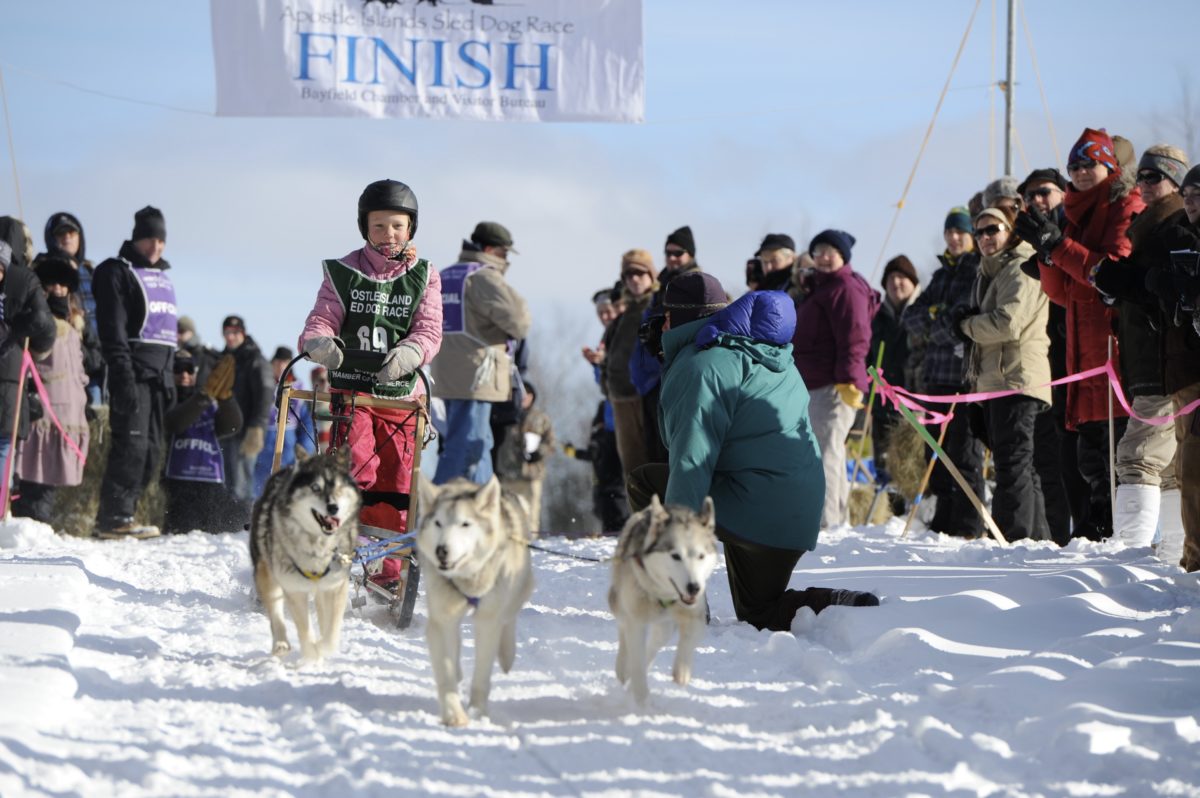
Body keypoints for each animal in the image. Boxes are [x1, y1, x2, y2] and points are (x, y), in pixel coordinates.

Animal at [248, 451, 360, 662]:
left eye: (339, 487)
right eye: (315, 488)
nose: (333, 507)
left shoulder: (335, 586)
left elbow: (331, 631)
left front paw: (323, 648)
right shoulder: (293, 587)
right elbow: (304, 629)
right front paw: (311, 654)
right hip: (267, 573)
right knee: (275, 610)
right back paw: (281, 643)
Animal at [420, 475, 537, 724]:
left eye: (465, 524)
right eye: (438, 523)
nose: (441, 551)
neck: (468, 578)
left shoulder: (488, 620)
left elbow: (482, 672)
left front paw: (477, 711)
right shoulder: (441, 619)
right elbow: (446, 670)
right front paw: (454, 714)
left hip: (518, 588)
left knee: (509, 617)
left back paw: (507, 654)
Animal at [614, 492, 715, 705]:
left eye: (701, 556)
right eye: (675, 556)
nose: (694, 587)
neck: (662, 594)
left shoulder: (695, 614)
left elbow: (688, 639)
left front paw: (682, 670)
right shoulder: (635, 619)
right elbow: (635, 657)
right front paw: (642, 701)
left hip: (664, 627)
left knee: (654, 644)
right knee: (624, 632)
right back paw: (623, 667)